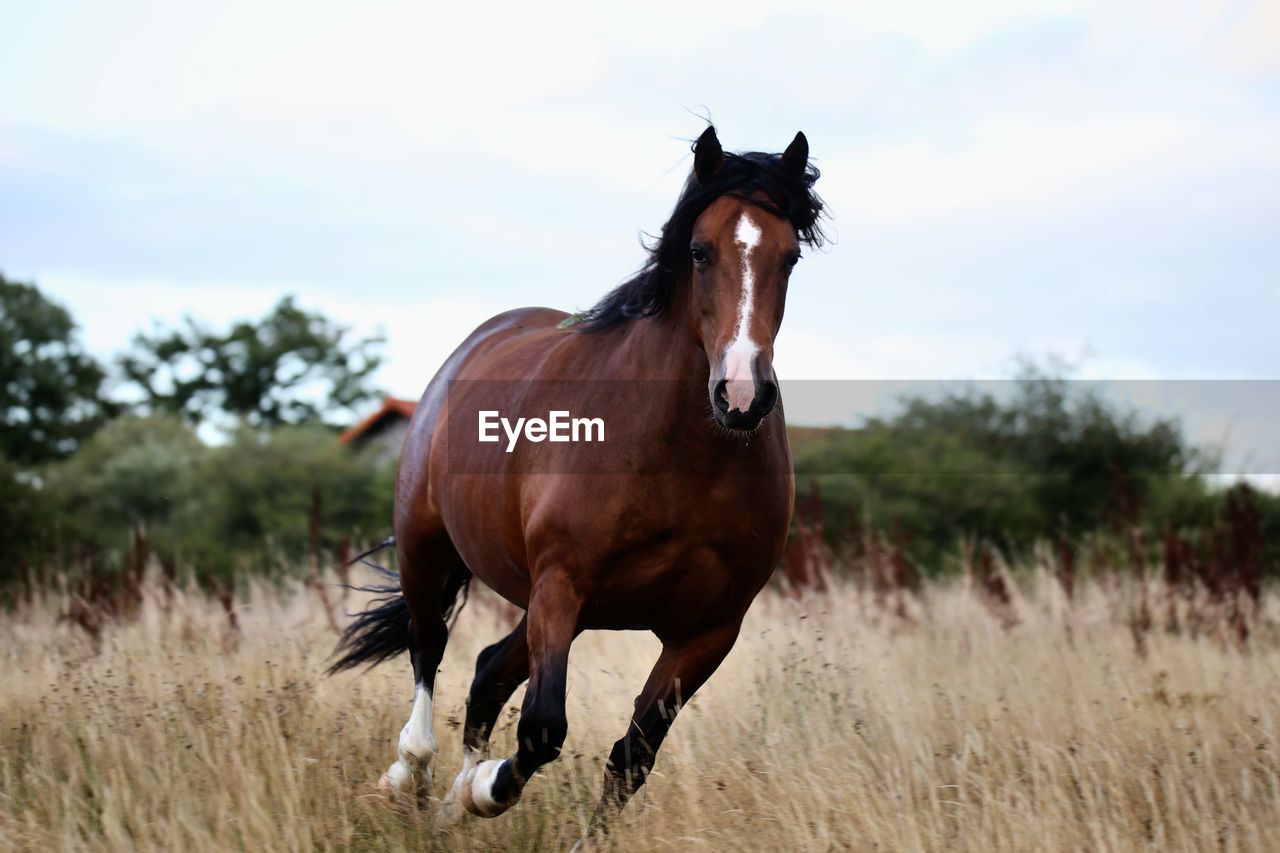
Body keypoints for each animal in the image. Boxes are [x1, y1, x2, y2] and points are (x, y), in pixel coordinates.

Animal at [330, 124, 824, 845]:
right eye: (699, 251)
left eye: (789, 258)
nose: (740, 395)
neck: (680, 458)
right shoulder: (562, 583)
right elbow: (542, 729)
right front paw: (482, 790)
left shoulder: (708, 628)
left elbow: (632, 753)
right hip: (430, 551)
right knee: (429, 649)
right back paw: (411, 778)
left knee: (487, 673)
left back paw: (447, 809)